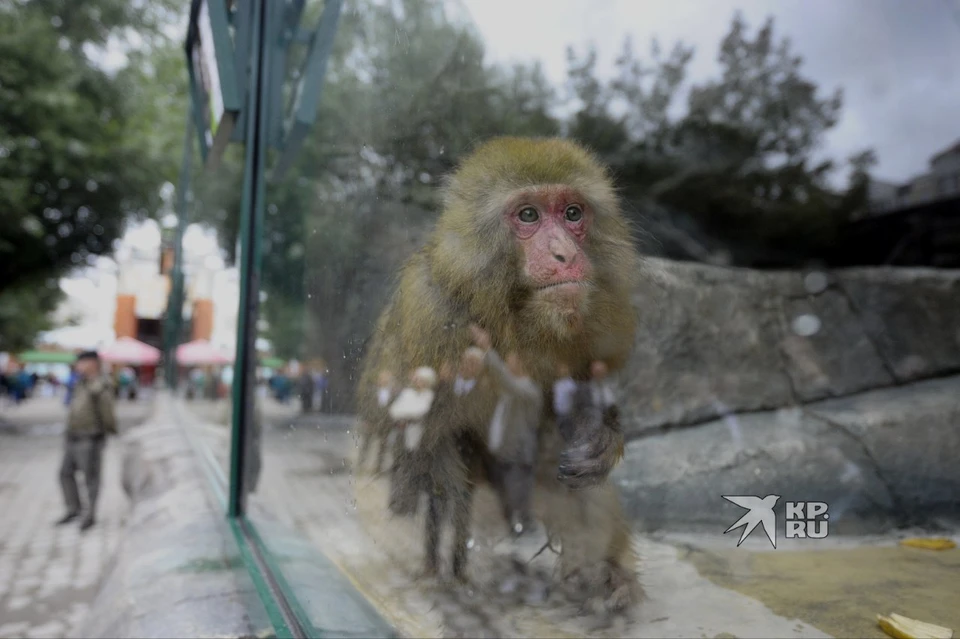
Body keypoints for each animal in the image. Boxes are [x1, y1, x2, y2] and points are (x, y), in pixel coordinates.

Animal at [354, 138, 644, 612]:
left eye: (572, 213)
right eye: (528, 215)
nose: (565, 254)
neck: (509, 312)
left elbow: (577, 397)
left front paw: (598, 435)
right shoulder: (434, 316)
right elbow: (424, 440)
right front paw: (447, 570)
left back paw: (603, 578)